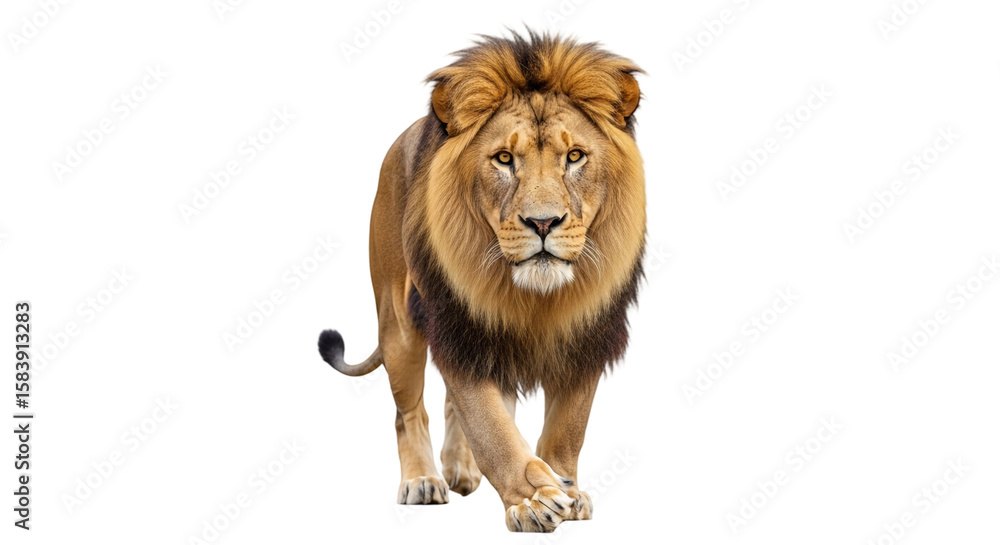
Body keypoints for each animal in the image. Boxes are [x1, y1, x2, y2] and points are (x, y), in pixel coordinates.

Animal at [317, 31, 645, 533]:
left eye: (574, 157)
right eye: (504, 159)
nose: (543, 222)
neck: (533, 297)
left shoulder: (586, 335)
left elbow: (568, 427)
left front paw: (566, 489)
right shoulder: (459, 324)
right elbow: (491, 427)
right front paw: (534, 500)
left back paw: (461, 470)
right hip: (399, 323)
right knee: (409, 411)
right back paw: (423, 481)